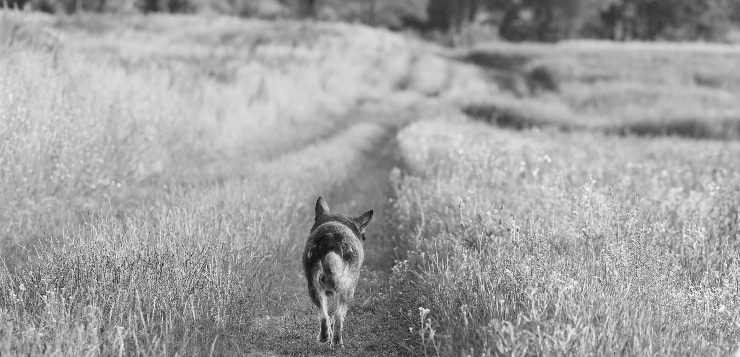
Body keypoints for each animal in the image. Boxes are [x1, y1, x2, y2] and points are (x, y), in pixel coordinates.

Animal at [302, 196, 372, 346]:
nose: (364, 237)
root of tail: (330, 239)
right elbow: (340, 315)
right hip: (347, 290)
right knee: (338, 316)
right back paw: (336, 342)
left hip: (314, 288)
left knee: (324, 315)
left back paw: (325, 337)